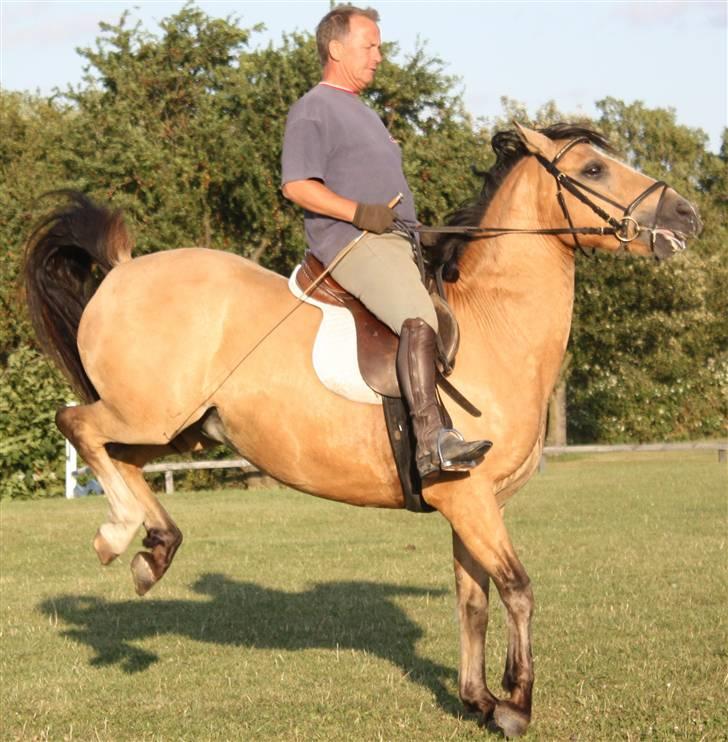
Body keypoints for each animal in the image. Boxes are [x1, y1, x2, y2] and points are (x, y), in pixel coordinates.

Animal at [25, 123, 704, 740]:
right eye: (592, 169)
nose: (688, 214)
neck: (496, 325)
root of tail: (122, 270)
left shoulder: (473, 503)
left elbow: (474, 599)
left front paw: (478, 700)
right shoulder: (469, 498)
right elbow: (517, 589)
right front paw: (515, 706)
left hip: (182, 429)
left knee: (122, 458)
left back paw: (150, 548)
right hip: (146, 413)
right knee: (76, 423)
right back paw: (122, 536)